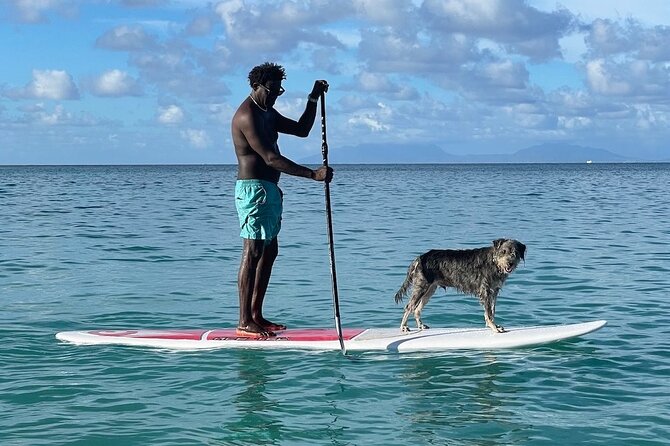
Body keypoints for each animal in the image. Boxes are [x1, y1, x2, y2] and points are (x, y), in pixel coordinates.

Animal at [396, 239, 528, 332]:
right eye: (503, 252)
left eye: (515, 253)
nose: (510, 263)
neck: (493, 261)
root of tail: (420, 258)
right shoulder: (485, 291)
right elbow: (488, 312)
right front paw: (493, 327)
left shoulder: (494, 291)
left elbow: (492, 310)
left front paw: (495, 325)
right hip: (421, 287)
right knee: (409, 306)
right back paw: (403, 326)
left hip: (430, 289)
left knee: (417, 309)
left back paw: (421, 325)